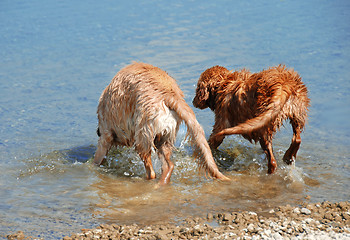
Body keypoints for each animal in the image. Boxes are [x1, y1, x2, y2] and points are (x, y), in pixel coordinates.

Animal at [94, 62, 228, 184]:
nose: (98, 131)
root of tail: (169, 94)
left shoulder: (106, 135)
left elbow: (98, 158)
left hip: (144, 134)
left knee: (151, 171)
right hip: (165, 137)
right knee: (169, 166)